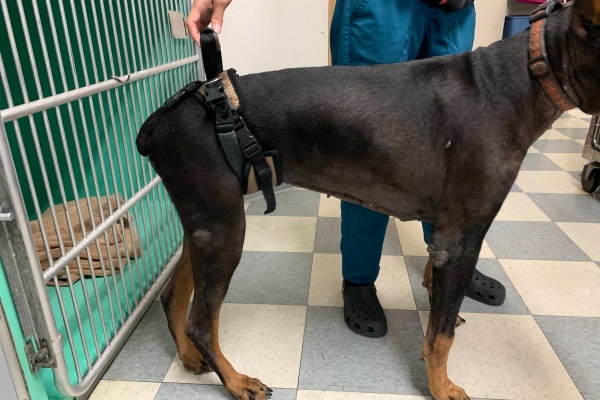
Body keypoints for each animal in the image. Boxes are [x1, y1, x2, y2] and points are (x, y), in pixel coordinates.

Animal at [136, 1, 600, 398]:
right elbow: (441, 338)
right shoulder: (462, 237)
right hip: (224, 228)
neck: (522, 76)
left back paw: (188, 357)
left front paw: (440, 304)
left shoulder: (447, 235)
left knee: (172, 297)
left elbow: (437, 297)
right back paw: (234, 381)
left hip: (204, 223)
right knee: (201, 322)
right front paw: (440, 387)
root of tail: (160, 119)